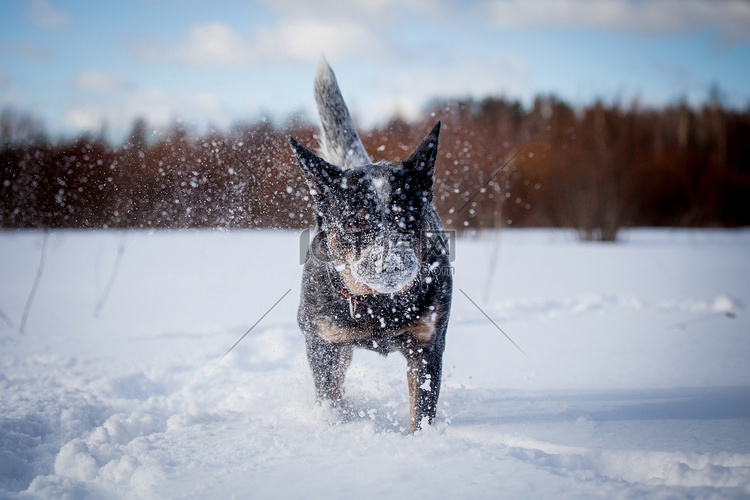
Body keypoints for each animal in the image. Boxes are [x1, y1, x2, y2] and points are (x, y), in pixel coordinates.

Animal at [290, 56, 452, 434]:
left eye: (409, 217)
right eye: (353, 221)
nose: (390, 264)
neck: (380, 308)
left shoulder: (427, 344)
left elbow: (422, 409)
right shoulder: (323, 343)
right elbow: (329, 398)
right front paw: (334, 426)